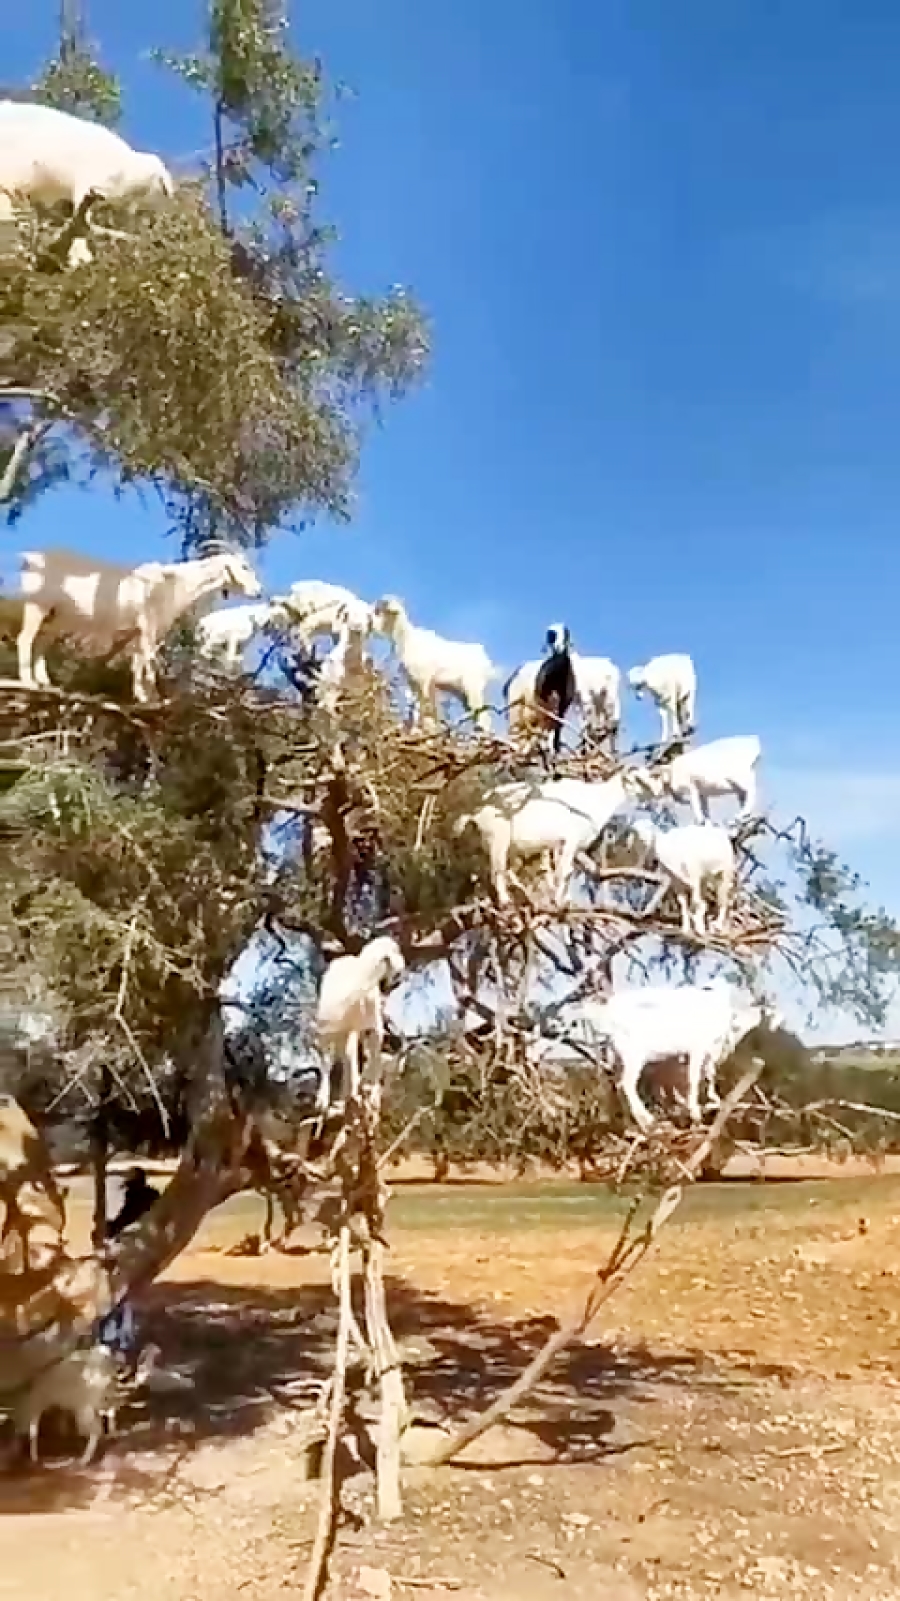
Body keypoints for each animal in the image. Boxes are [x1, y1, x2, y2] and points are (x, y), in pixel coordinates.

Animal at [15, 544, 261, 701]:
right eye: (244, 567)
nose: (258, 591)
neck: (173, 582)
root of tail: (29, 558)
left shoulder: (140, 632)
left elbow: (138, 662)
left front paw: (141, 696)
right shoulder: (150, 626)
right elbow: (149, 660)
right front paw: (153, 698)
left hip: (56, 616)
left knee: (41, 642)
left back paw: (45, 683)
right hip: (36, 604)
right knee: (25, 638)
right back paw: (28, 682)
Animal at [312, 934, 403, 1107]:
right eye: (391, 955)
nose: (399, 977)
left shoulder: (370, 1027)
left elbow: (369, 1058)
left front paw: (371, 1097)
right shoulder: (328, 1032)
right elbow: (328, 1062)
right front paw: (323, 1100)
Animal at [451, 768, 634, 909]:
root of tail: (476, 810)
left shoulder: (563, 844)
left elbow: (563, 870)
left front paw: (563, 900)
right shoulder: (570, 839)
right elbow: (563, 871)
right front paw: (559, 901)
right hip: (498, 836)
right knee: (497, 870)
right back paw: (505, 900)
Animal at [557, 979, 775, 1133]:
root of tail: (606, 1016)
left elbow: (703, 1076)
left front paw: (711, 1101)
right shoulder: (697, 1048)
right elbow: (693, 1078)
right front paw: (694, 1111)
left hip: (621, 1056)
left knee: (618, 1085)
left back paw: (633, 1123)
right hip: (635, 1054)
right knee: (627, 1084)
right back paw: (647, 1120)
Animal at [627, 733, 759, 819]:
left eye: (643, 782)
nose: (641, 805)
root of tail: (754, 743)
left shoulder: (691, 787)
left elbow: (696, 809)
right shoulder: (702, 793)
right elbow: (705, 810)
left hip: (739, 775)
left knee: (752, 790)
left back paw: (741, 815)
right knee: (744, 795)